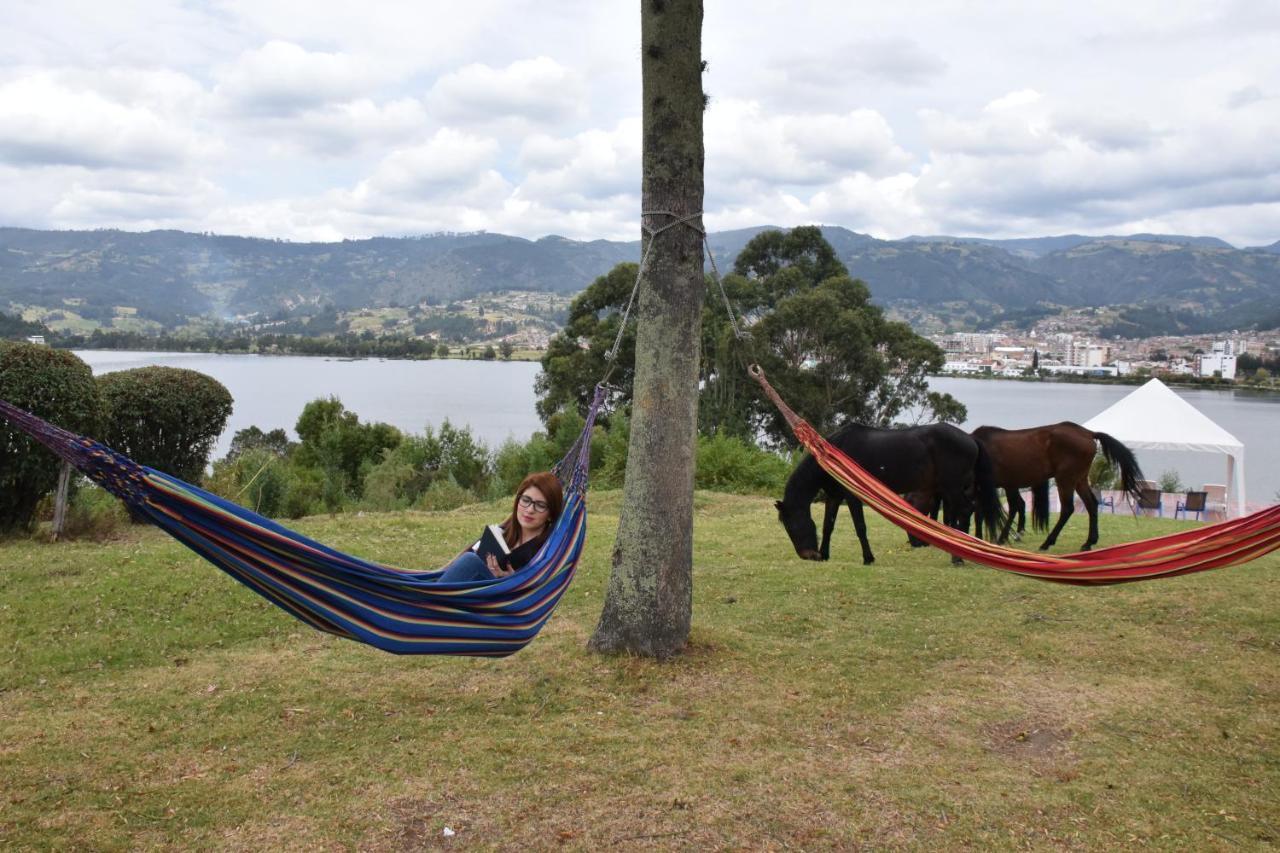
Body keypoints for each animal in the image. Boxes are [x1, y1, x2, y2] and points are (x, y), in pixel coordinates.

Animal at [773, 420, 1003, 563]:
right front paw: (825, 554)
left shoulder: (852, 496)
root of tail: (970, 439)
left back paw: (958, 558)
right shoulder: (834, 496)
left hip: (952, 487)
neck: (832, 454)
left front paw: (868, 558)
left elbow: (860, 527)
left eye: (793, 525)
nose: (807, 555)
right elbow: (828, 526)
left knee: (965, 511)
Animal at [972, 420, 1146, 550]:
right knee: (1091, 504)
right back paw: (1088, 542)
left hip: (1065, 479)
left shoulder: (1002, 485)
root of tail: (1087, 433)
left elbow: (1006, 508)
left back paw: (1047, 542)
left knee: (1067, 508)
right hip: (1079, 479)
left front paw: (994, 538)